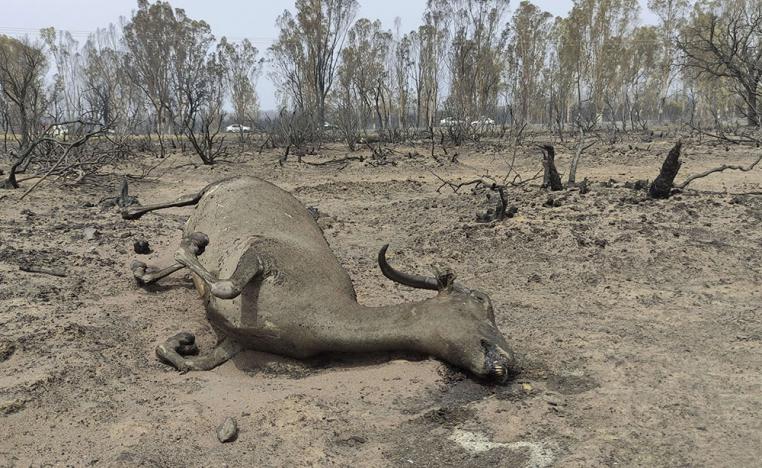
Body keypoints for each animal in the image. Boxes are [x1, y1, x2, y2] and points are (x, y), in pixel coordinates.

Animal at [123, 177, 516, 382]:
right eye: (482, 303)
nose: (511, 360)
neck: (320, 312)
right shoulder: (262, 251)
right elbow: (221, 283)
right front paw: (192, 244)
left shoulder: (234, 341)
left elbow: (186, 361)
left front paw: (181, 343)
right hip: (215, 186)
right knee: (187, 197)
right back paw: (135, 211)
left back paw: (145, 271)